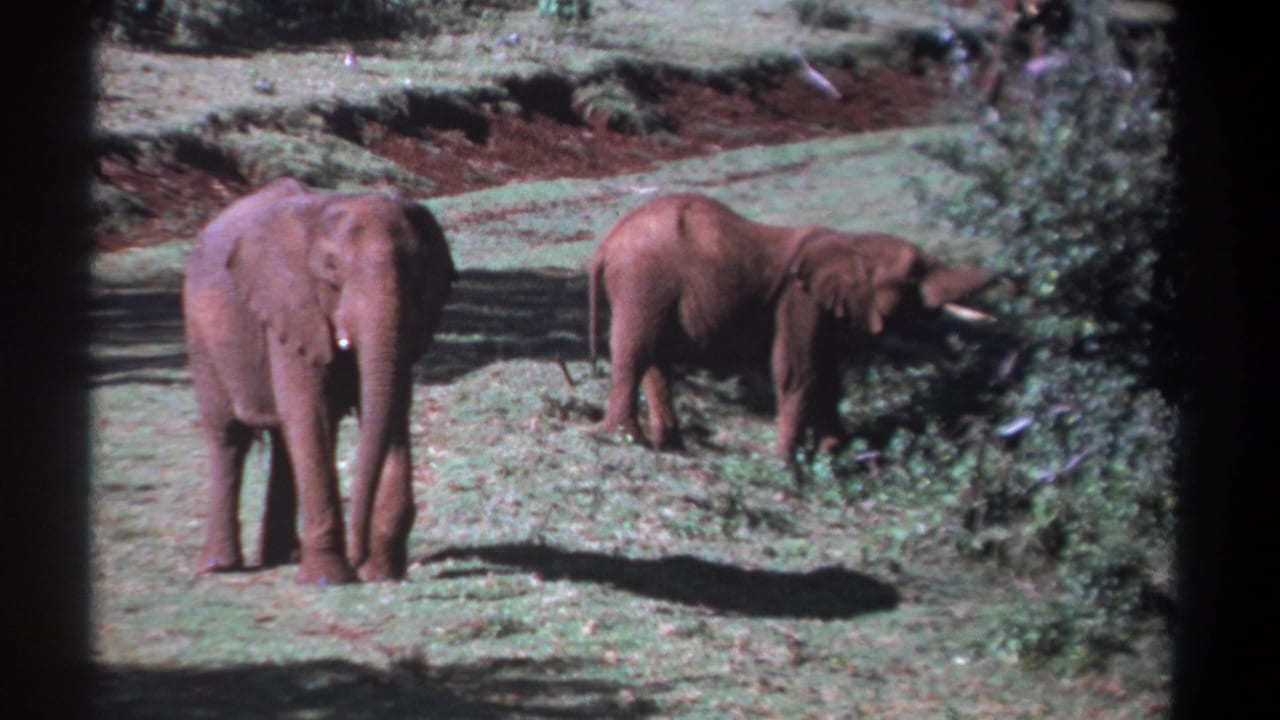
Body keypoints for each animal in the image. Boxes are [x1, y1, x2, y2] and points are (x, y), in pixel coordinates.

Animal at [182, 177, 456, 585]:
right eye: (331, 269)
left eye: (417, 267)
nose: (360, 558)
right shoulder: (288, 306)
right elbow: (309, 412)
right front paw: (328, 579)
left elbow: (391, 410)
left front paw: (381, 572)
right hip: (201, 338)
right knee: (229, 436)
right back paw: (220, 567)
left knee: (283, 439)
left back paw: (283, 555)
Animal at [587, 193, 991, 461]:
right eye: (914, 274)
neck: (849, 242)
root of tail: (606, 244)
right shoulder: (799, 299)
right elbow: (799, 370)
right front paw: (786, 463)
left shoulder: (822, 308)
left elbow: (828, 374)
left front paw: (834, 455)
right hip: (644, 280)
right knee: (636, 352)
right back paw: (627, 439)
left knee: (656, 358)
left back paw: (671, 446)